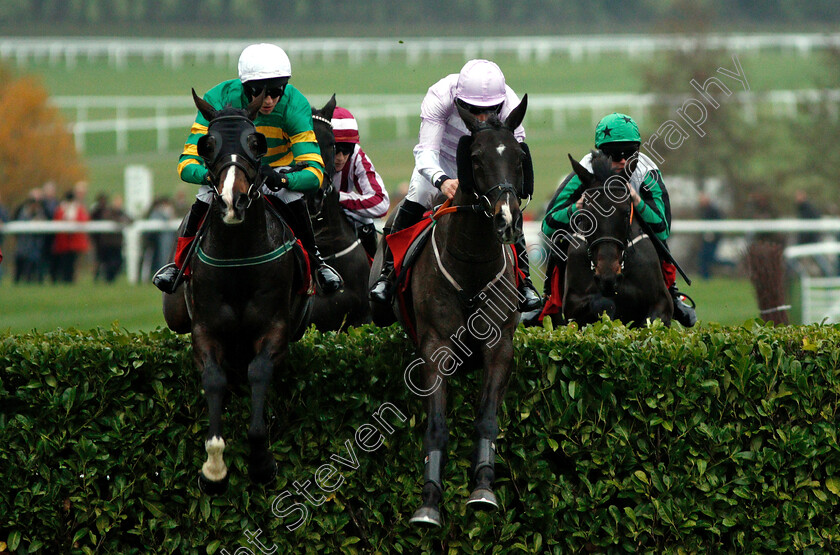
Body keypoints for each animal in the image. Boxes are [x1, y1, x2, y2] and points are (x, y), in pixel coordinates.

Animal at [162, 91, 310, 496]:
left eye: (256, 143)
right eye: (207, 144)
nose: (232, 201)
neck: (238, 259)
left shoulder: (275, 327)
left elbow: (259, 372)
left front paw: (262, 462)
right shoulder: (205, 329)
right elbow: (214, 380)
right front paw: (213, 468)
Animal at [378, 97, 528, 528]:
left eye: (518, 157)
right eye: (475, 158)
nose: (506, 218)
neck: (472, 264)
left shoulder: (500, 346)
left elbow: (487, 418)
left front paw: (484, 487)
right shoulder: (436, 347)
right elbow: (436, 426)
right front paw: (428, 501)